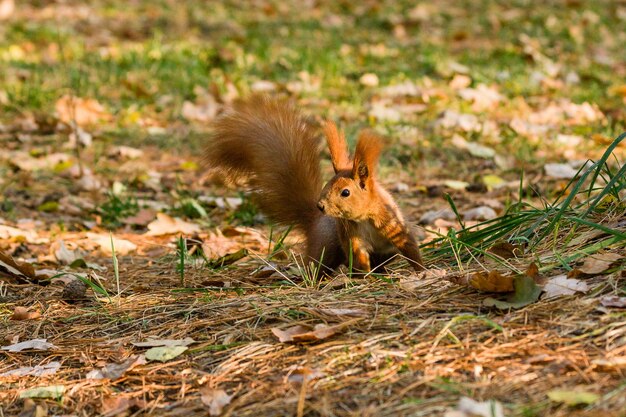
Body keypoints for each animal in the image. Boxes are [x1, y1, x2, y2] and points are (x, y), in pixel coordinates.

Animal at [202, 94, 422, 272]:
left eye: (345, 192)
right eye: (326, 185)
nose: (321, 205)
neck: (364, 218)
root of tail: (314, 220)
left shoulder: (392, 224)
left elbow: (410, 247)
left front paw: (422, 271)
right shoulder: (351, 235)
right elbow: (358, 256)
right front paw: (365, 275)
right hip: (326, 245)